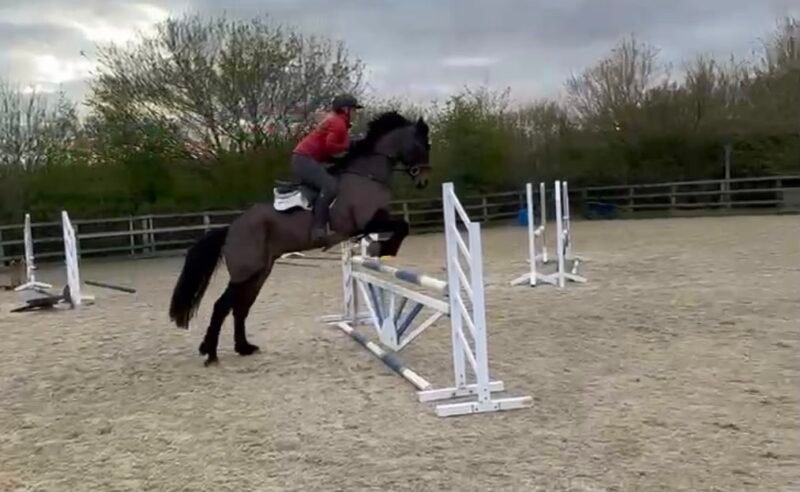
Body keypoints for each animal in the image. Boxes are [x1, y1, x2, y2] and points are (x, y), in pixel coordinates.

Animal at [168, 111, 432, 365]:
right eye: (421, 144)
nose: (423, 181)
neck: (366, 175)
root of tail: (232, 228)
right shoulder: (365, 223)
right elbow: (402, 226)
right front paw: (386, 248)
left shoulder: (374, 220)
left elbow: (401, 225)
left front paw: (382, 248)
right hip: (245, 272)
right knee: (222, 306)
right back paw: (211, 354)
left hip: (260, 273)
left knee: (241, 308)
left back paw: (243, 348)